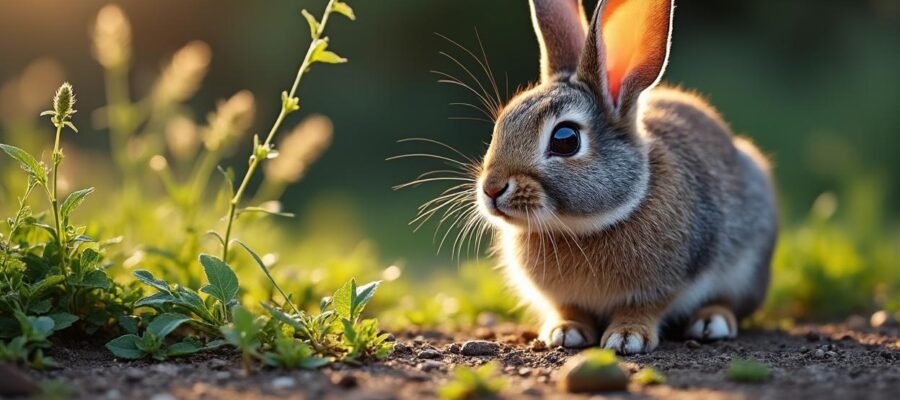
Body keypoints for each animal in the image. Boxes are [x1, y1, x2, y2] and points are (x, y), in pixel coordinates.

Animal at [475, 0, 778, 354]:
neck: (580, 227)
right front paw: (565, 331)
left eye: (565, 139)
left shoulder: (663, 284)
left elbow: (643, 308)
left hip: (748, 266)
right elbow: (570, 309)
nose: (492, 189)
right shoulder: (565, 298)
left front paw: (626, 337)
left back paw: (710, 322)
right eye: (502, 123)